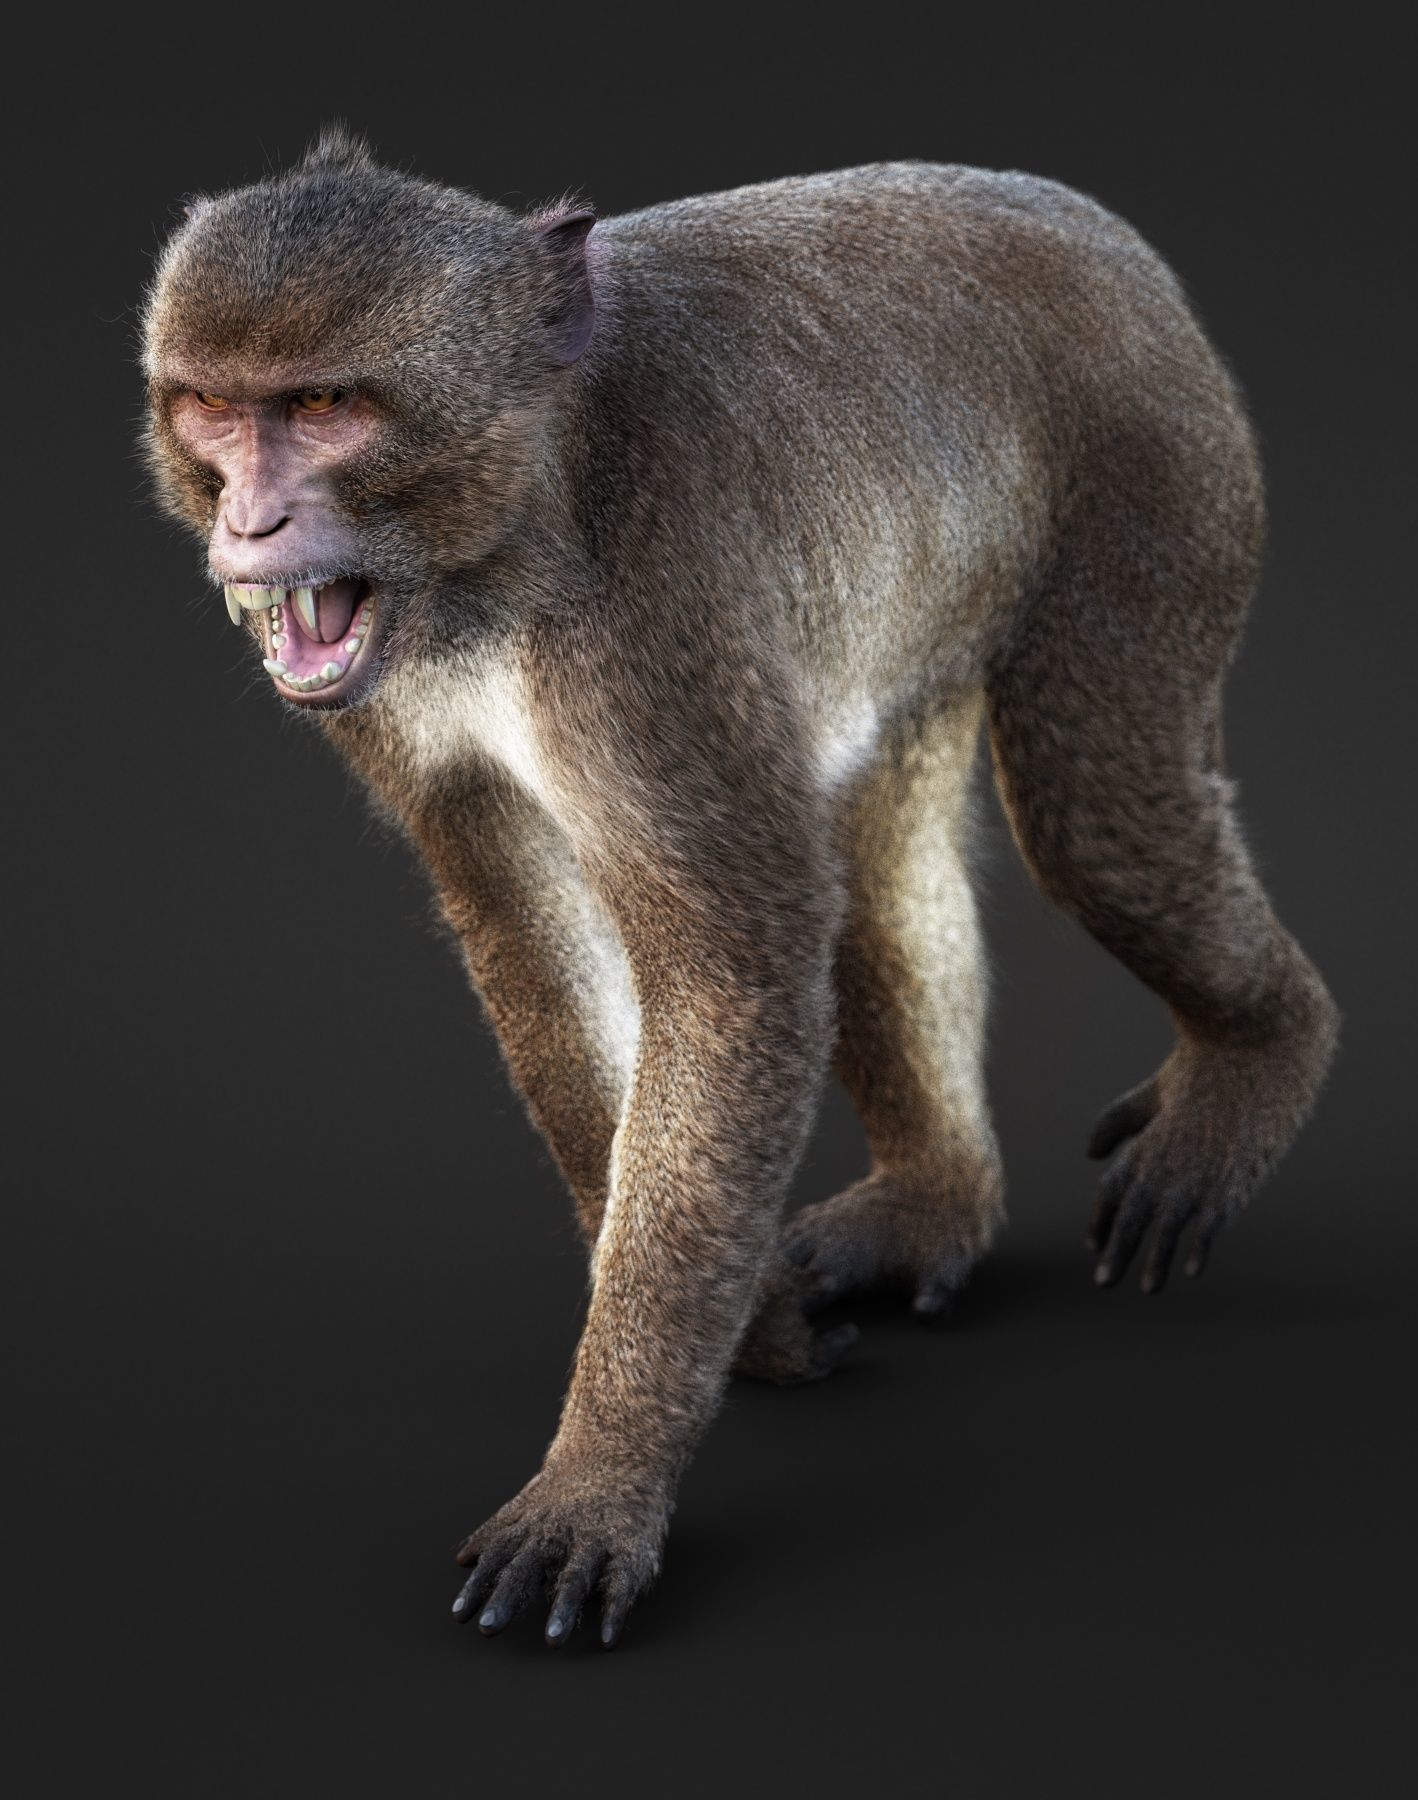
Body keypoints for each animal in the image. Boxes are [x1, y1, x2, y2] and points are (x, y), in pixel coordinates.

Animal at [141, 128, 1338, 1648]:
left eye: (327, 406)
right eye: (211, 411)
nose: (252, 520)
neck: (524, 515)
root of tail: (1098, 228)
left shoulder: (654, 627)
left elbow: (739, 966)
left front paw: (600, 1475)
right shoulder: (404, 703)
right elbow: (536, 940)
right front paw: (751, 1322)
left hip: (1158, 470)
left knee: (1094, 815)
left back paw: (1259, 1056)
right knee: (872, 852)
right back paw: (937, 1205)